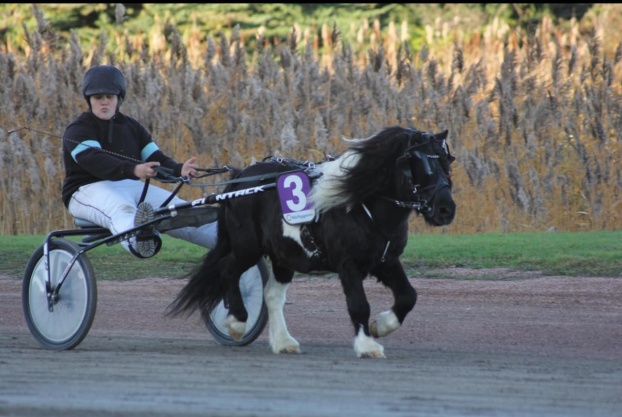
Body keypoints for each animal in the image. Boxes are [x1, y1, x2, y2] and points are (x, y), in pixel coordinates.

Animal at [168, 125, 456, 356]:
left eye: (447, 161)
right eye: (422, 164)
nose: (446, 210)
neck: (361, 203)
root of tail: (239, 179)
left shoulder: (386, 260)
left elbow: (408, 296)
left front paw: (381, 326)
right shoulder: (348, 265)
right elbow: (359, 305)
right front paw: (367, 346)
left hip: (283, 255)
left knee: (271, 295)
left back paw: (283, 341)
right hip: (247, 247)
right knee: (228, 270)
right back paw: (237, 322)